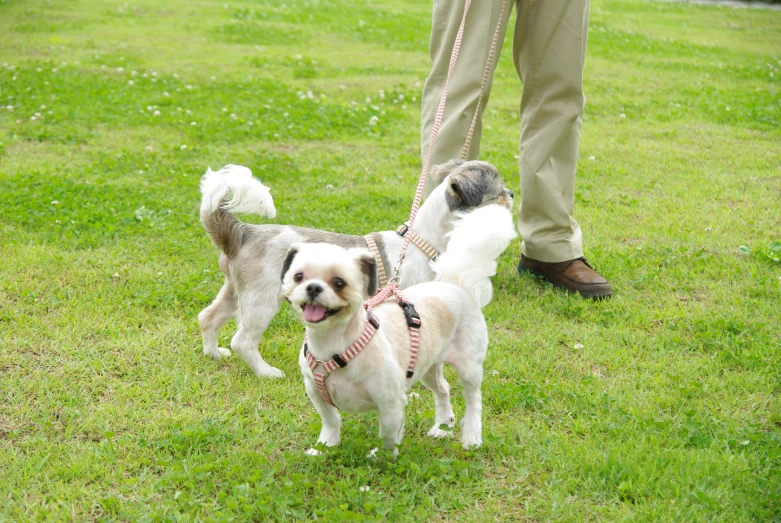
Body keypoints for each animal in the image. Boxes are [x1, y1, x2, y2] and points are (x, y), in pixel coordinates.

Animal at [197, 158, 512, 378]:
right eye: (498, 194)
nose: (511, 193)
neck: (420, 243)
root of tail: (245, 232)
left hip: (236, 292)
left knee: (208, 318)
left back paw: (214, 354)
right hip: (260, 300)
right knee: (243, 341)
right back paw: (266, 372)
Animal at [280, 203, 516, 456]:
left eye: (339, 282)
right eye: (298, 276)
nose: (313, 287)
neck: (333, 345)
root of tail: (456, 285)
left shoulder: (391, 402)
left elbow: (388, 435)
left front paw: (383, 457)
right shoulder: (316, 392)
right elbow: (331, 421)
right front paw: (325, 447)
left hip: (469, 366)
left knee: (473, 400)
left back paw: (471, 437)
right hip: (427, 365)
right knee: (443, 388)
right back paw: (442, 426)